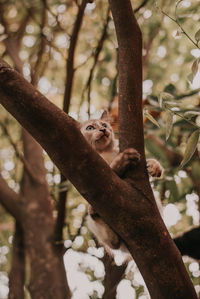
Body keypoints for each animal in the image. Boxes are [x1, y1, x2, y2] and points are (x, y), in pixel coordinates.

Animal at [79, 110, 162, 262]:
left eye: (104, 124)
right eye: (90, 128)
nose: (103, 130)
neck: (105, 152)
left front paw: (154, 166)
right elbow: (113, 167)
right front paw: (123, 159)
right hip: (92, 222)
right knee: (113, 243)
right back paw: (94, 212)